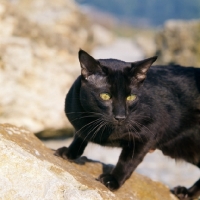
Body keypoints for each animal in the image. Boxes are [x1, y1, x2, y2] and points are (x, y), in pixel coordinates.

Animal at [55, 49, 200, 199]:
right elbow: (79, 136)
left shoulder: (147, 136)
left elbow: (127, 161)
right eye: (105, 96)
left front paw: (112, 180)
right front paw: (69, 153)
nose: (120, 116)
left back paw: (186, 193)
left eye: (131, 97)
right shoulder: (80, 124)